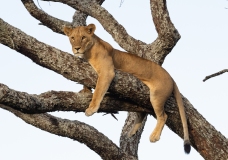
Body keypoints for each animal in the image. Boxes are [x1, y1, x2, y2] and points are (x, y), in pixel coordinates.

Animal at [62, 23, 191, 154]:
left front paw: (91, 109)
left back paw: (154, 136)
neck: (88, 52)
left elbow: (98, 91)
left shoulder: (107, 72)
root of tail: (171, 78)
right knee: (142, 113)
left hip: (156, 96)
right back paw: (132, 132)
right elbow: (86, 80)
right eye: (72, 38)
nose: (77, 48)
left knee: (163, 116)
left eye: (83, 37)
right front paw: (85, 90)